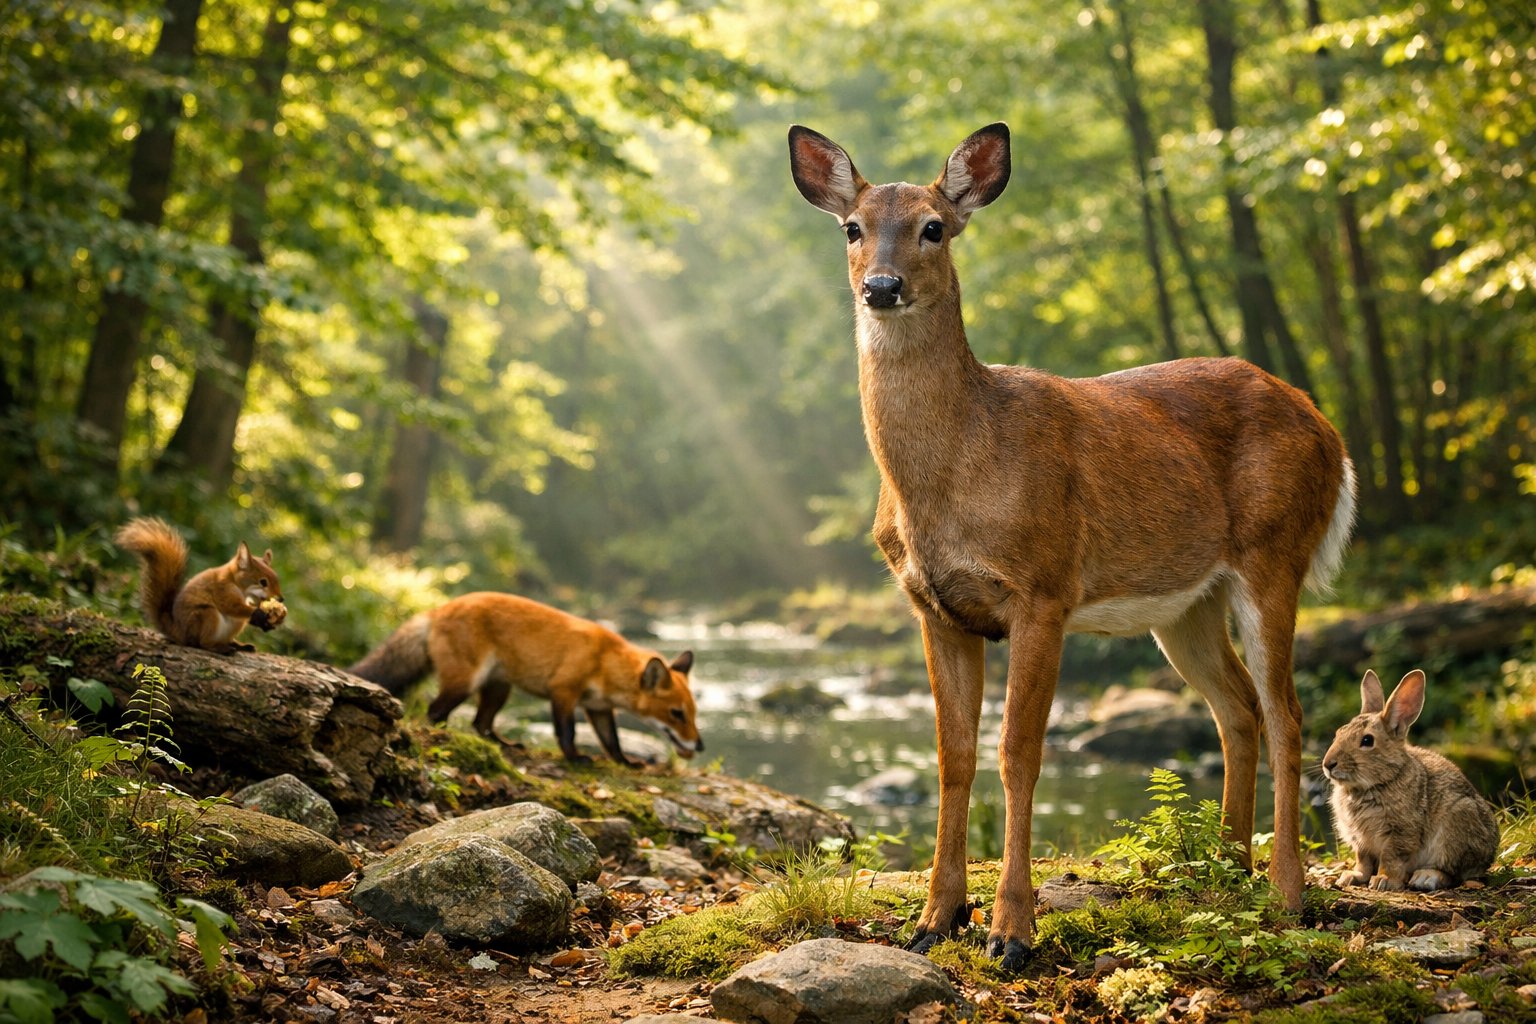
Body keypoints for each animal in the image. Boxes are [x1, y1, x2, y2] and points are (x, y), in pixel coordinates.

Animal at [115, 517, 285, 654]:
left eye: (277, 578)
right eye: (263, 582)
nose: (280, 598)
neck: (236, 583)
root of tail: (178, 632)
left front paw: (269, 622)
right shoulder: (221, 589)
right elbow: (231, 606)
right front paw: (259, 615)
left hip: (235, 624)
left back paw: (239, 645)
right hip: (206, 616)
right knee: (201, 643)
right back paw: (220, 648)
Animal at [348, 592, 703, 766]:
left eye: (693, 714)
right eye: (676, 714)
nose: (699, 746)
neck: (604, 661)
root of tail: (436, 610)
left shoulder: (599, 708)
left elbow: (612, 741)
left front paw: (626, 763)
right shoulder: (564, 691)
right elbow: (567, 733)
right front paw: (575, 759)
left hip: (499, 689)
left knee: (481, 722)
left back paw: (501, 743)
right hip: (465, 682)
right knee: (435, 712)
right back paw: (449, 734)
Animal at [788, 122, 1356, 971]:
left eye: (934, 227)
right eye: (852, 228)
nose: (881, 287)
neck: (953, 474)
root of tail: (1329, 430)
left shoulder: (1043, 589)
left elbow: (1018, 755)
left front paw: (1011, 931)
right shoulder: (934, 606)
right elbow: (952, 757)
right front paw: (934, 919)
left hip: (1274, 552)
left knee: (1288, 713)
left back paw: (1286, 893)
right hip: (1186, 605)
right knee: (1238, 708)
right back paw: (1222, 874)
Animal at [1322, 668, 1500, 891]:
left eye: (1367, 740)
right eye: (1339, 732)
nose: (1328, 764)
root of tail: (1490, 853)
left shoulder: (1400, 833)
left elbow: (1391, 858)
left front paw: (1383, 880)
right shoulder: (1361, 841)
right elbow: (1363, 861)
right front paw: (1352, 877)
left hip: (1458, 824)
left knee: (1452, 872)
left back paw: (1425, 877)